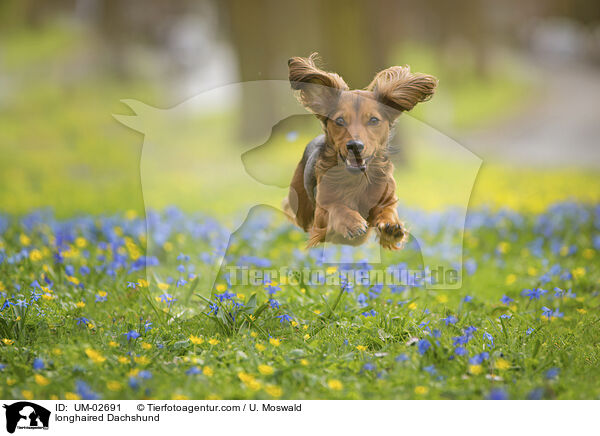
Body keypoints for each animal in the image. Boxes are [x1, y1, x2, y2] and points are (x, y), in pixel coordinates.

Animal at [282, 54, 436, 250]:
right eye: (339, 120)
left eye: (373, 120)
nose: (355, 145)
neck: (357, 179)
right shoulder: (321, 218)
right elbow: (336, 208)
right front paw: (352, 222)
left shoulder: (387, 198)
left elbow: (388, 210)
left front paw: (391, 227)